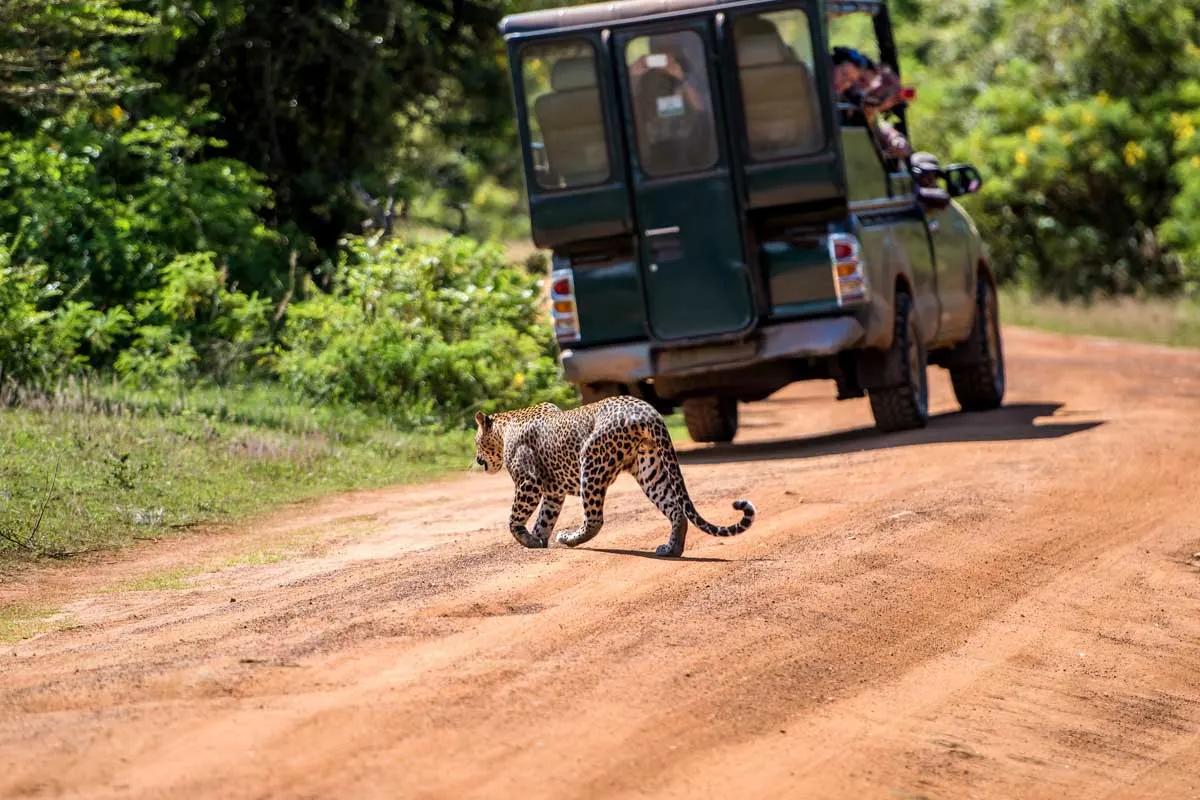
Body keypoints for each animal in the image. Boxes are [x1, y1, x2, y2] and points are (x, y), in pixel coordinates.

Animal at [473, 396, 755, 557]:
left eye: (476, 442)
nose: (476, 459)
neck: (504, 427)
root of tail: (648, 411)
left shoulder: (528, 482)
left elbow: (514, 518)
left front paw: (528, 539)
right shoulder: (553, 492)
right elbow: (545, 517)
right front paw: (538, 539)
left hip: (592, 462)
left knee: (595, 519)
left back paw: (569, 539)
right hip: (649, 468)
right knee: (676, 509)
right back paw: (671, 549)